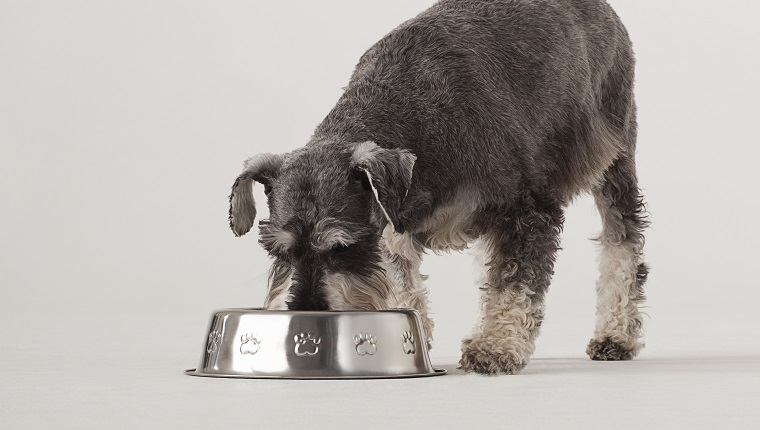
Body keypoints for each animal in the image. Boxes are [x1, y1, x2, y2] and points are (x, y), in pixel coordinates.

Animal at [226, 0, 648, 374]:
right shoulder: (392, 227)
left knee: (623, 241)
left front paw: (496, 347)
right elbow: (405, 285)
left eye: (343, 247)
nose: (309, 312)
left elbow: (513, 284)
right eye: (279, 252)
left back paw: (616, 334)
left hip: (614, 155)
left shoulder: (528, 211)